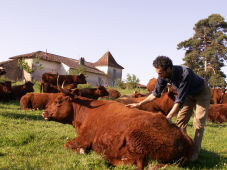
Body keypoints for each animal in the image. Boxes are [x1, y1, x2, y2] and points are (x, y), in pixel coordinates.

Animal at [42, 89, 193, 169]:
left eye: (58, 101)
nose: (44, 113)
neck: (85, 113)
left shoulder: (84, 138)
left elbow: (67, 144)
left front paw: (82, 151)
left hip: (136, 140)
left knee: (135, 163)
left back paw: (106, 157)